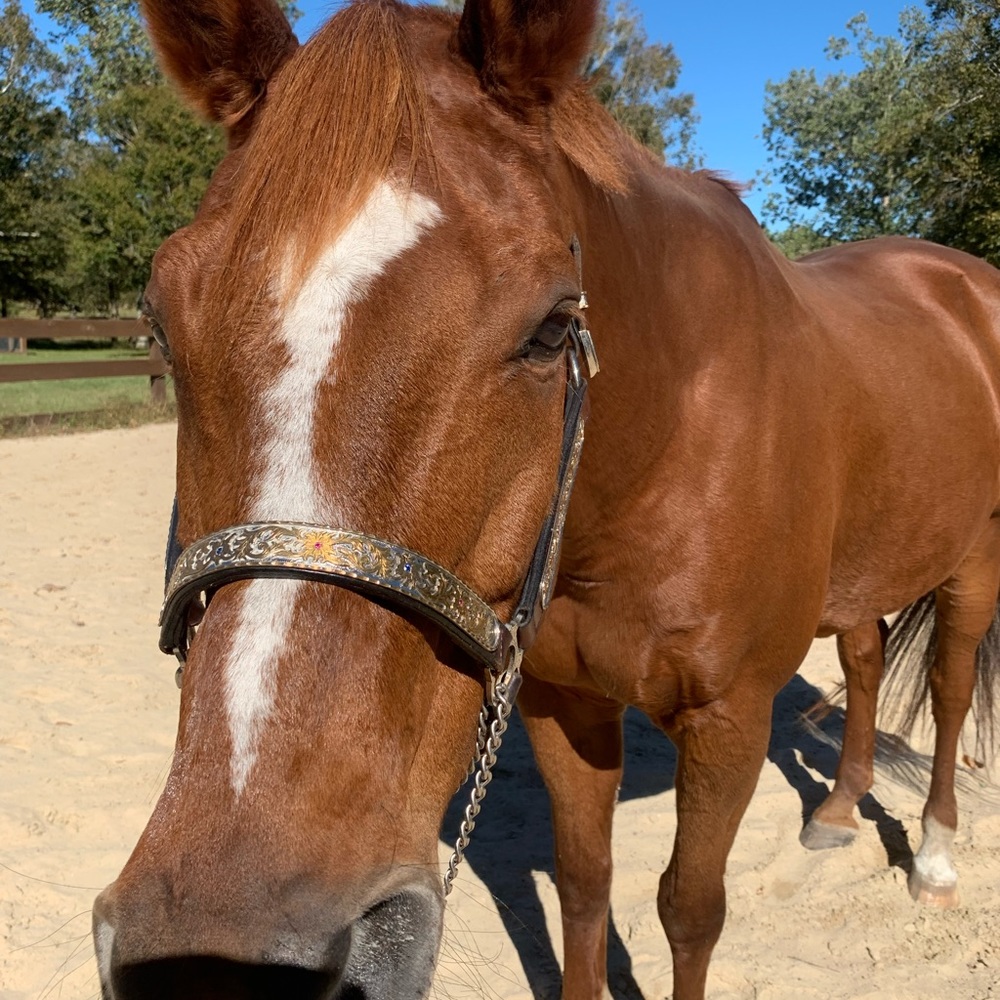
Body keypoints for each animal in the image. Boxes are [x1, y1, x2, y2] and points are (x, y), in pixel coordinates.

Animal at [93, 1, 1000, 998]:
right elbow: (584, 883)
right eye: (162, 320)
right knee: (868, 659)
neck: (660, 454)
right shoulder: (563, 702)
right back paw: (836, 812)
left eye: (554, 327)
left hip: (975, 562)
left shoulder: (729, 718)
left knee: (950, 689)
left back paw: (935, 859)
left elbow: (689, 909)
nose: (220, 955)